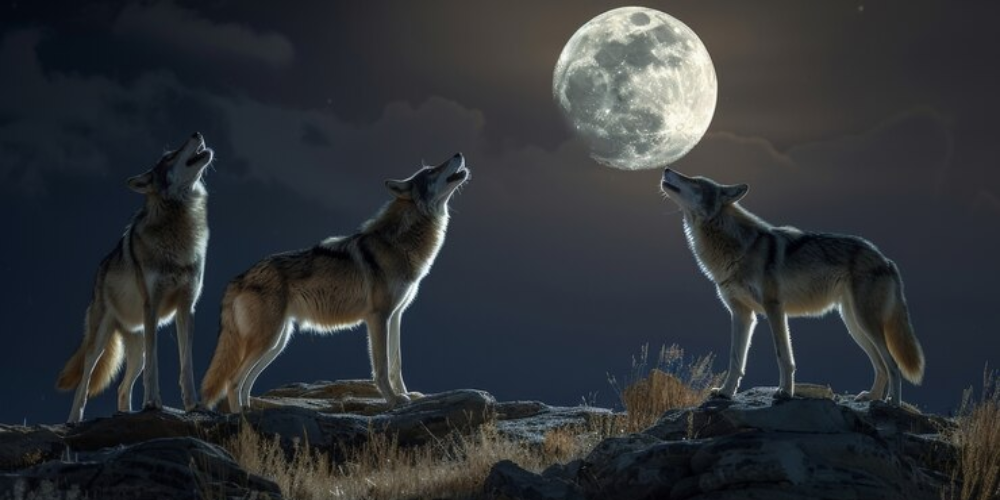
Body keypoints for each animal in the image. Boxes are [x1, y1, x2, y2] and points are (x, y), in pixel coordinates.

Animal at [56, 133, 213, 423]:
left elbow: (186, 365)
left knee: (121, 388)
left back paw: (125, 414)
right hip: (100, 341)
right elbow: (155, 364)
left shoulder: (187, 308)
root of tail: (101, 267)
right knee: (84, 382)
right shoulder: (152, 307)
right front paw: (152, 402)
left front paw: (192, 405)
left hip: (135, 350)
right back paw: (73, 422)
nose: (196, 133)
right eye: (169, 156)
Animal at [201, 153, 469, 412]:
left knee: (246, 381)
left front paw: (406, 395)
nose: (458, 153)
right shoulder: (378, 317)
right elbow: (382, 367)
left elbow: (396, 363)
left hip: (276, 342)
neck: (397, 242)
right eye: (432, 170)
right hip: (268, 340)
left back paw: (250, 412)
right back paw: (240, 418)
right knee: (233, 381)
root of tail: (239, 278)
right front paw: (393, 401)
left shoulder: (396, 315)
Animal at [660, 168, 924, 406]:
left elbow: (783, 356)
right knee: (881, 365)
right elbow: (736, 360)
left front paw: (785, 392)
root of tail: (886, 259)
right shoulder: (742, 314)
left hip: (865, 324)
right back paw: (872, 397)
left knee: (893, 365)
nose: (666, 169)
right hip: (854, 325)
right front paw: (725, 393)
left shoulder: (774, 308)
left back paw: (893, 404)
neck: (738, 248)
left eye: (694, 181)